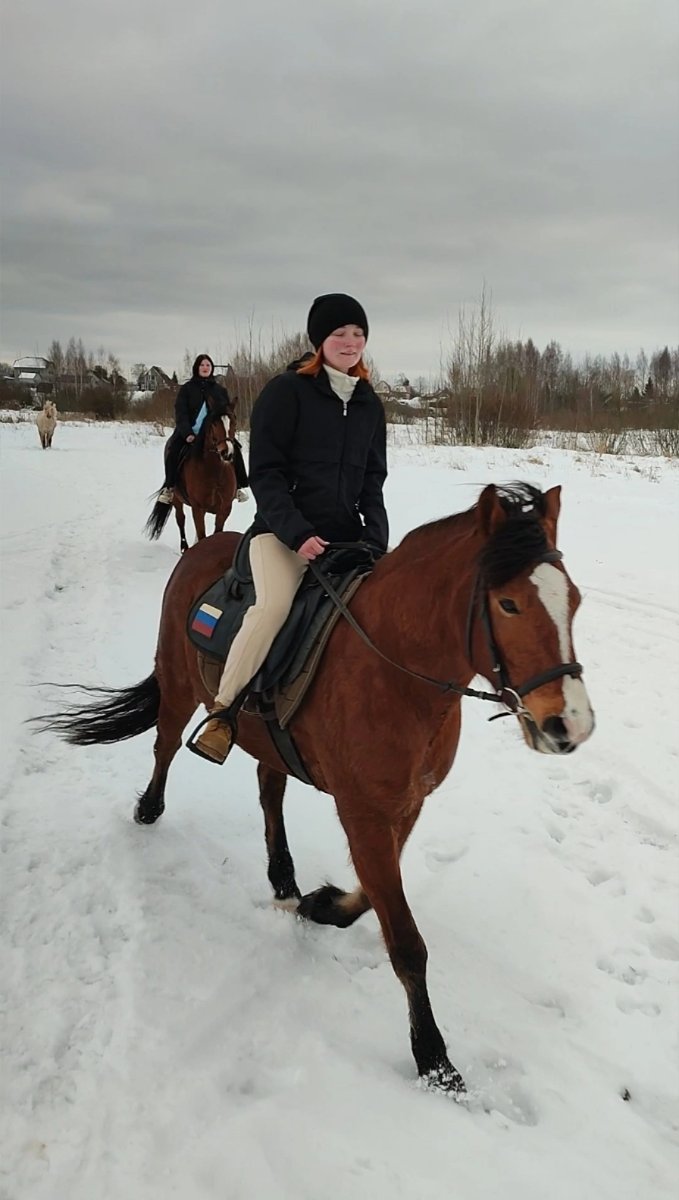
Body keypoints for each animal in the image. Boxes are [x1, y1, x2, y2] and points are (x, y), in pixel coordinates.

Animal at [40, 483, 594, 1096]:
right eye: (509, 604)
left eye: (573, 600)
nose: (569, 725)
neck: (395, 671)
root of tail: (201, 550)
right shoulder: (364, 812)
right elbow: (406, 942)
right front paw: (434, 1059)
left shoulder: (401, 806)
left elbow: (370, 897)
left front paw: (322, 905)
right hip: (180, 685)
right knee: (165, 747)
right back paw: (149, 808)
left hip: (264, 733)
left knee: (269, 789)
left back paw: (284, 877)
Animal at [145, 411, 238, 552]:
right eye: (214, 424)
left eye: (234, 422)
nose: (227, 452)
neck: (215, 472)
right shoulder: (197, 507)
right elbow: (201, 533)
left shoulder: (225, 508)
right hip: (176, 499)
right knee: (180, 519)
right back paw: (184, 547)